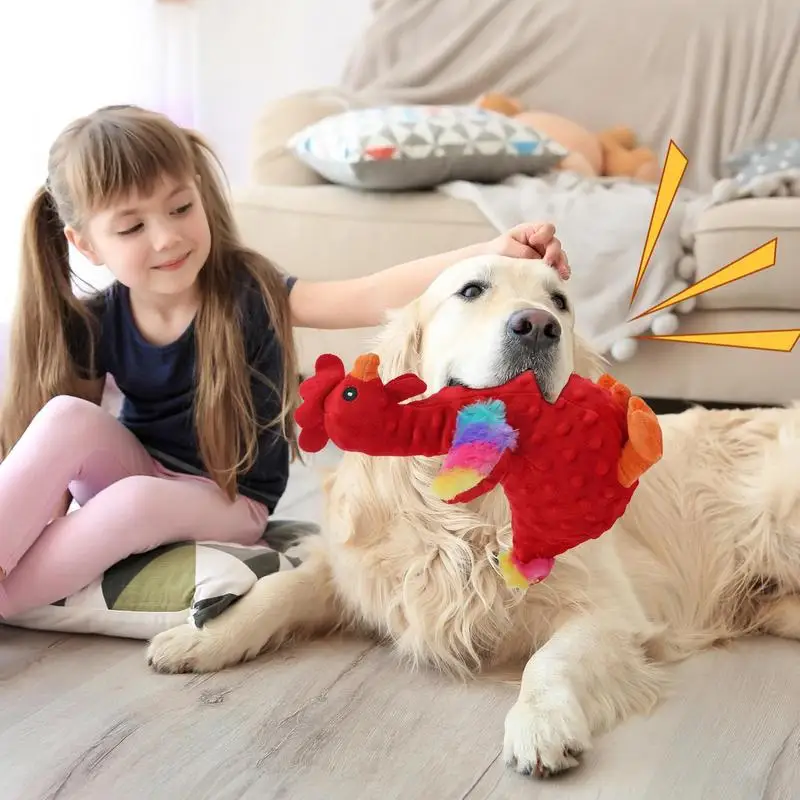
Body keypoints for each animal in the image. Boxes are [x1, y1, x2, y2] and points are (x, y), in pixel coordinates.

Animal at [145, 255, 800, 776]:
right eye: (471, 290)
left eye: (560, 302)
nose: (537, 325)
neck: (475, 505)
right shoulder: (358, 567)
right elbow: (279, 591)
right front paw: (200, 637)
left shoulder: (613, 610)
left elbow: (549, 661)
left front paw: (540, 727)